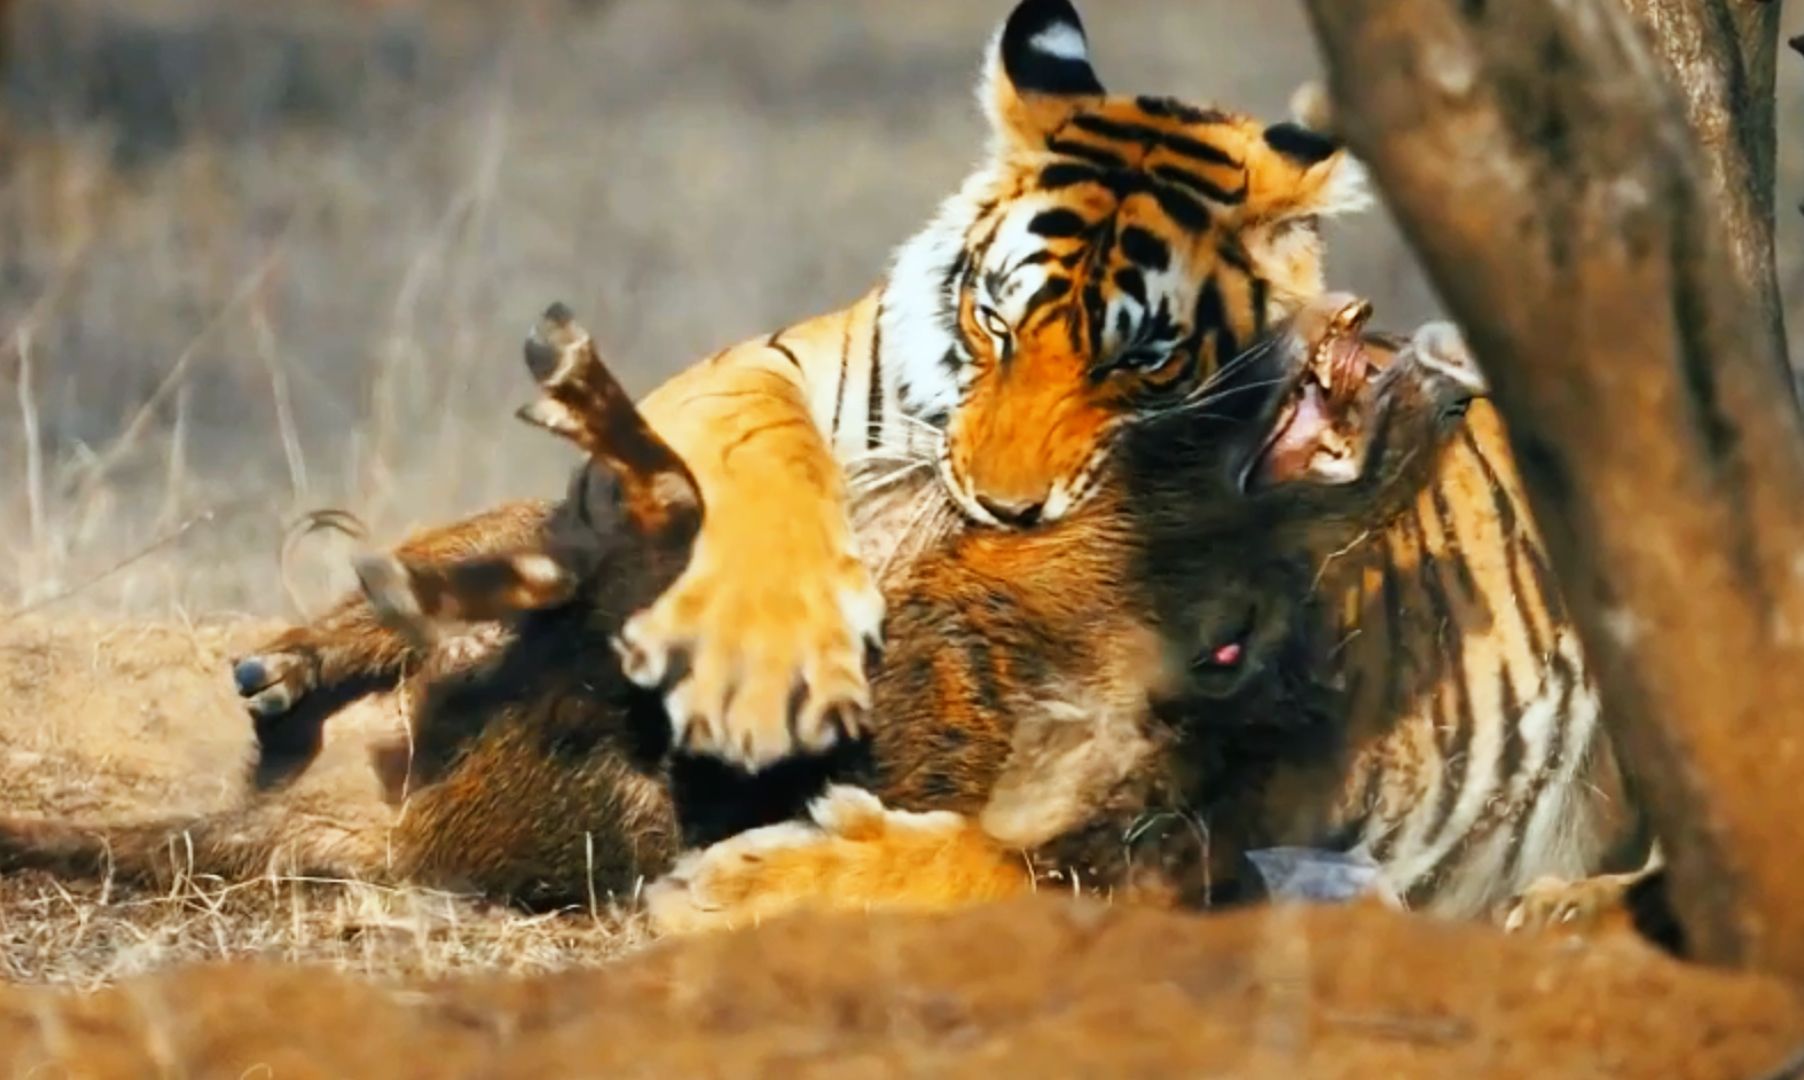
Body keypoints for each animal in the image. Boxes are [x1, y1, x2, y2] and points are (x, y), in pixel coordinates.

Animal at [232, 0, 1371, 782]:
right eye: (997, 324)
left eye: (1138, 362)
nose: (1000, 506)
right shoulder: (751, 371)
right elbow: (761, 446)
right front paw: (761, 662)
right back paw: (300, 655)